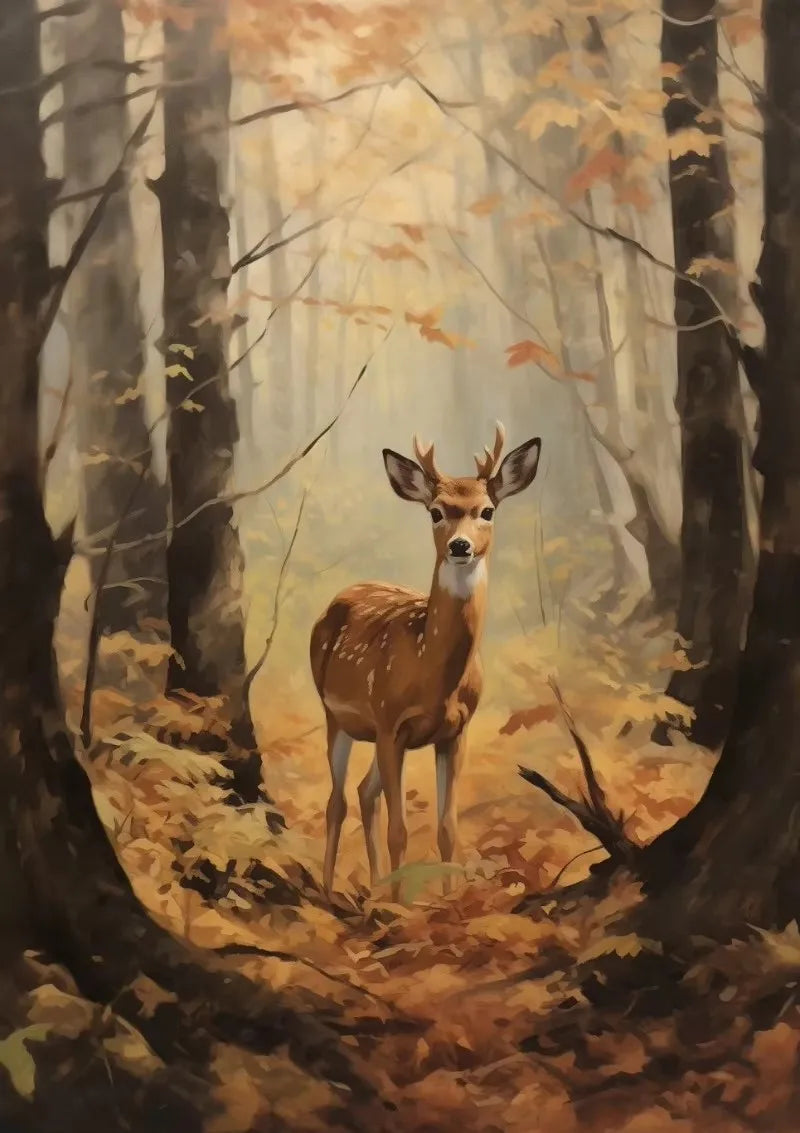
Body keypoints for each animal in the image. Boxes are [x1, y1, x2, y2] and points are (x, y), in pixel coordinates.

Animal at [309, 423, 541, 900]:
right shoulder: (389, 721)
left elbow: (447, 828)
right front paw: (402, 909)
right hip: (335, 714)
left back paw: (374, 889)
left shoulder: (455, 731)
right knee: (337, 800)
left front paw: (447, 905)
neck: (432, 676)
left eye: (487, 510)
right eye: (436, 512)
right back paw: (329, 890)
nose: (460, 545)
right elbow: (399, 830)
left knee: (364, 793)